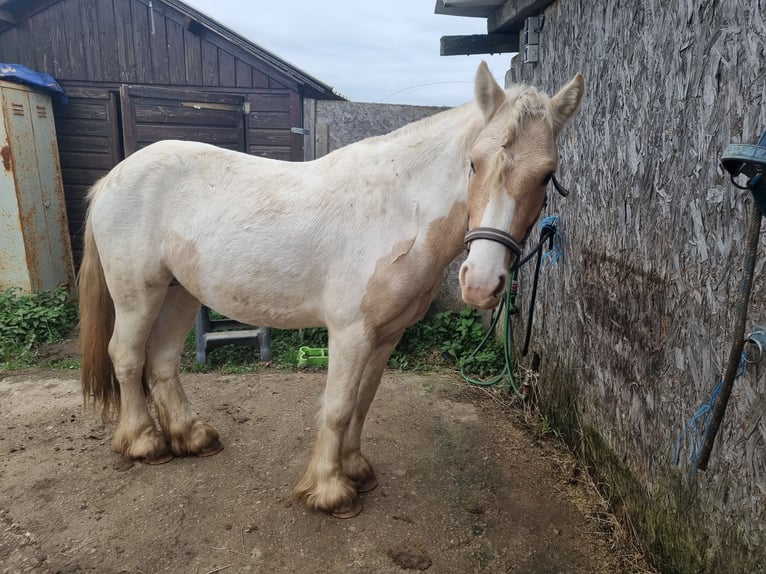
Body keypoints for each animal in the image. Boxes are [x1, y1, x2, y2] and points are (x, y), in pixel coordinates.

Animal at [78, 60, 584, 520]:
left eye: (546, 174)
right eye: (474, 163)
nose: (480, 282)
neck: (401, 210)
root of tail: (111, 179)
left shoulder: (386, 334)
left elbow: (363, 401)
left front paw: (356, 469)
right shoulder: (351, 332)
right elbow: (338, 407)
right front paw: (329, 491)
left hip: (179, 292)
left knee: (162, 361)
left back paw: (192, 437)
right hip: (137, 293)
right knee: (127, 357)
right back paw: (144, 443)